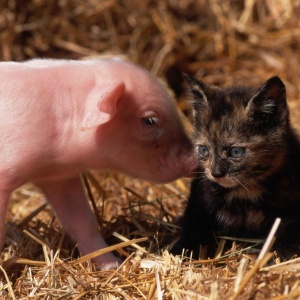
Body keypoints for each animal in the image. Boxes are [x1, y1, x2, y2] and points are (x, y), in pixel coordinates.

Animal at [173, 74, 300, 258]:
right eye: (204, 150)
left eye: (235, 152)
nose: (216, 173)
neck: (245, 193)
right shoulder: (199, 197)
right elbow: (193, 227)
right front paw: (182, 249)